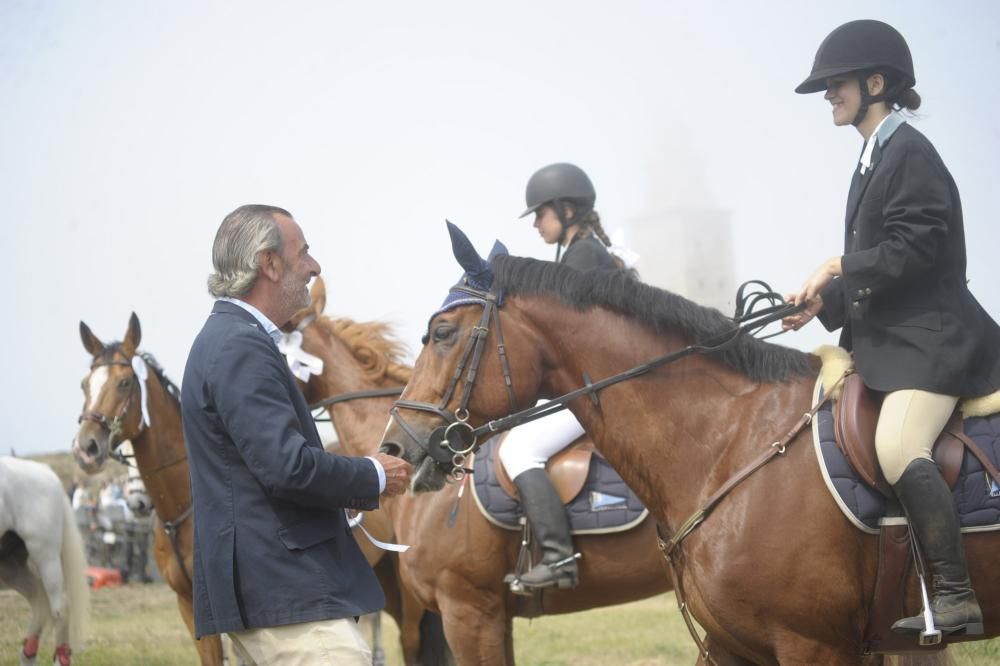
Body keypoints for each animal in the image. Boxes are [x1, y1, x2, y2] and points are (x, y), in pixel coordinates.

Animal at [0, 456, 90, 664]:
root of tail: (47, 472)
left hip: (46, 557)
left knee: (60, 607)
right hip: (10, 567)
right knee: (40, 602)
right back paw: (28, 656)